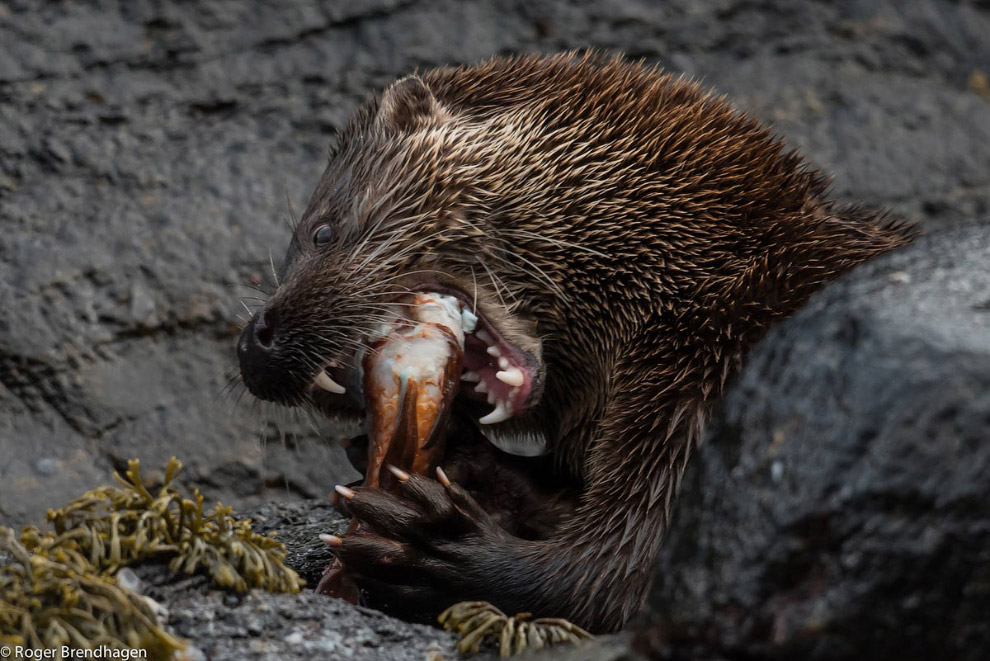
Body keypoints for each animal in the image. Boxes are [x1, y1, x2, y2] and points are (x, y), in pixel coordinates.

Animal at [236, 52, 920, 636]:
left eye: (322, 232)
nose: (252, 341)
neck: (695, 276)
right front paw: (467, 459)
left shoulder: (700, 392)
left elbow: (612, 580)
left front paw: (428, 546)